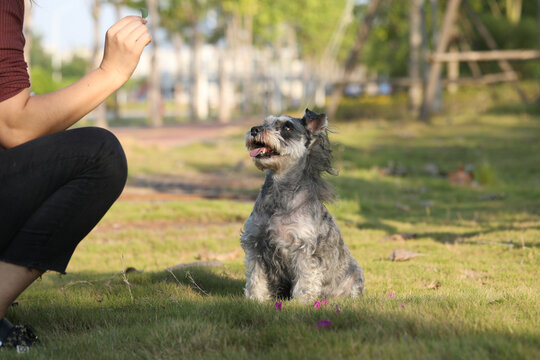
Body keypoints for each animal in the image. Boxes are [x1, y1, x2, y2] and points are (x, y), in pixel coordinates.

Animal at [242, 107, 364, 300]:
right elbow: (256, 277)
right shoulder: (255, 244)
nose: (255, 129)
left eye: (287, 127)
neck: (279, 194)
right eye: (265, 122)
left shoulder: (303, 248)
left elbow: (306, 279)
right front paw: (255, 299)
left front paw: (302, 301)